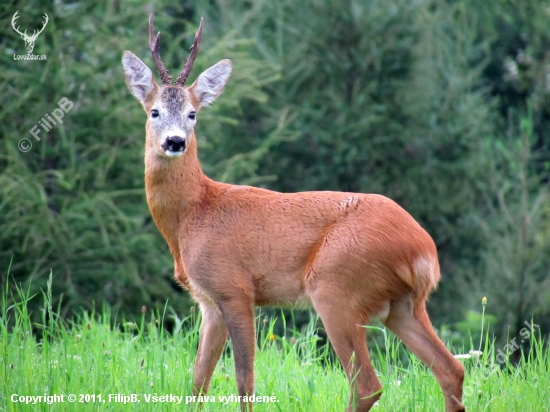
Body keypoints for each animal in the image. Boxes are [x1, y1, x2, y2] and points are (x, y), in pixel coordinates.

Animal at [122, 13, 466, 412]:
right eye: (154, 111)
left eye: (193, 113)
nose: (175, 141)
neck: (194, 212)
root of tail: (423, 250)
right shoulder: (208, 302)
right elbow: (198, 380)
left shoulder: (234, 288)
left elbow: (244, 379)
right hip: (402, 305)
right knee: (450, 369)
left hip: (336, 288)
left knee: (367, 384)